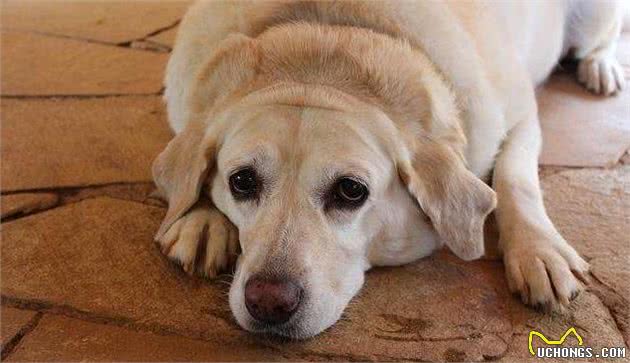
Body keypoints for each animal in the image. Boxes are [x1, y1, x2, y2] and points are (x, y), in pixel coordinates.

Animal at [152, 1, 628, 340]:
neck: (326, 36)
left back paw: (602, 67)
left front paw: (539, 251)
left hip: (595, 18)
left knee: (601, 40)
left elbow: (515, 179)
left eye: (350, 191)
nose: (268, 302)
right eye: (242, 181)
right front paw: (201, 219)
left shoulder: (522, 114)